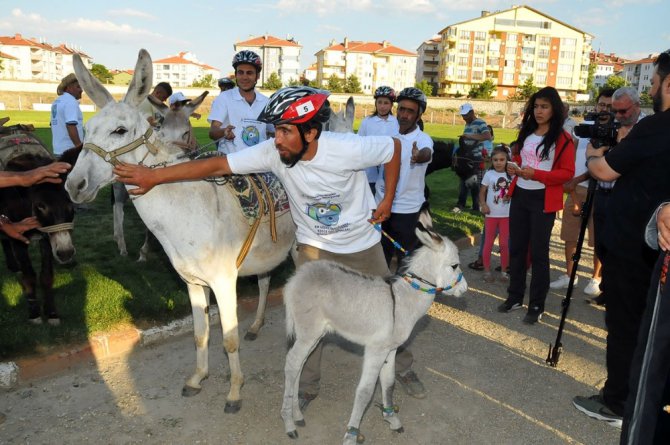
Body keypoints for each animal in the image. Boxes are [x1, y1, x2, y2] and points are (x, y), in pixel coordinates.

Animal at [282, 209, 468, 444]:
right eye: (454, 266)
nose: (465, 289)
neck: (403, 299)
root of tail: (296, 278)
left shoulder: (390, 349)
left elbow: (388, 382)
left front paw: (391, 419)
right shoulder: (375, 349)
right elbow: (365, 391)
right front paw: (351, 434)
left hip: (315, 334)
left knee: (299, 365)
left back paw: (297, 416)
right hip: (308, 331)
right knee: (292, 363)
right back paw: (288, 423)